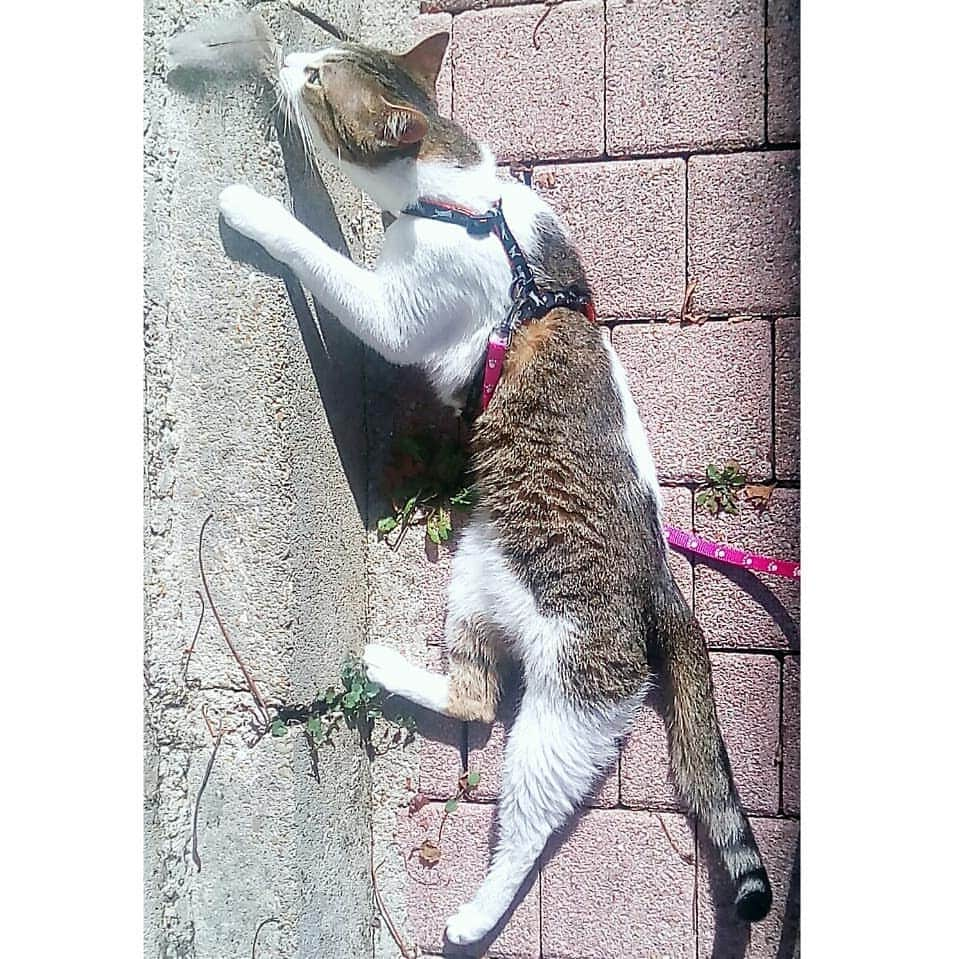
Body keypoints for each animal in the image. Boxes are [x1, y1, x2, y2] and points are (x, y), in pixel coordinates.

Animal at [218, 31, 772, 952]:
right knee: (473, 697)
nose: (290, 56)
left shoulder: (397, 311)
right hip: (474, 576)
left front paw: (252, 207)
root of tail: (663, 586)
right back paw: (384, 662)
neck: (461, 194)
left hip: (565, 712)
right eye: (326, 49)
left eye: (318, 78)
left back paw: (473, 915)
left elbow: (324, 257)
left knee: (523, 814)